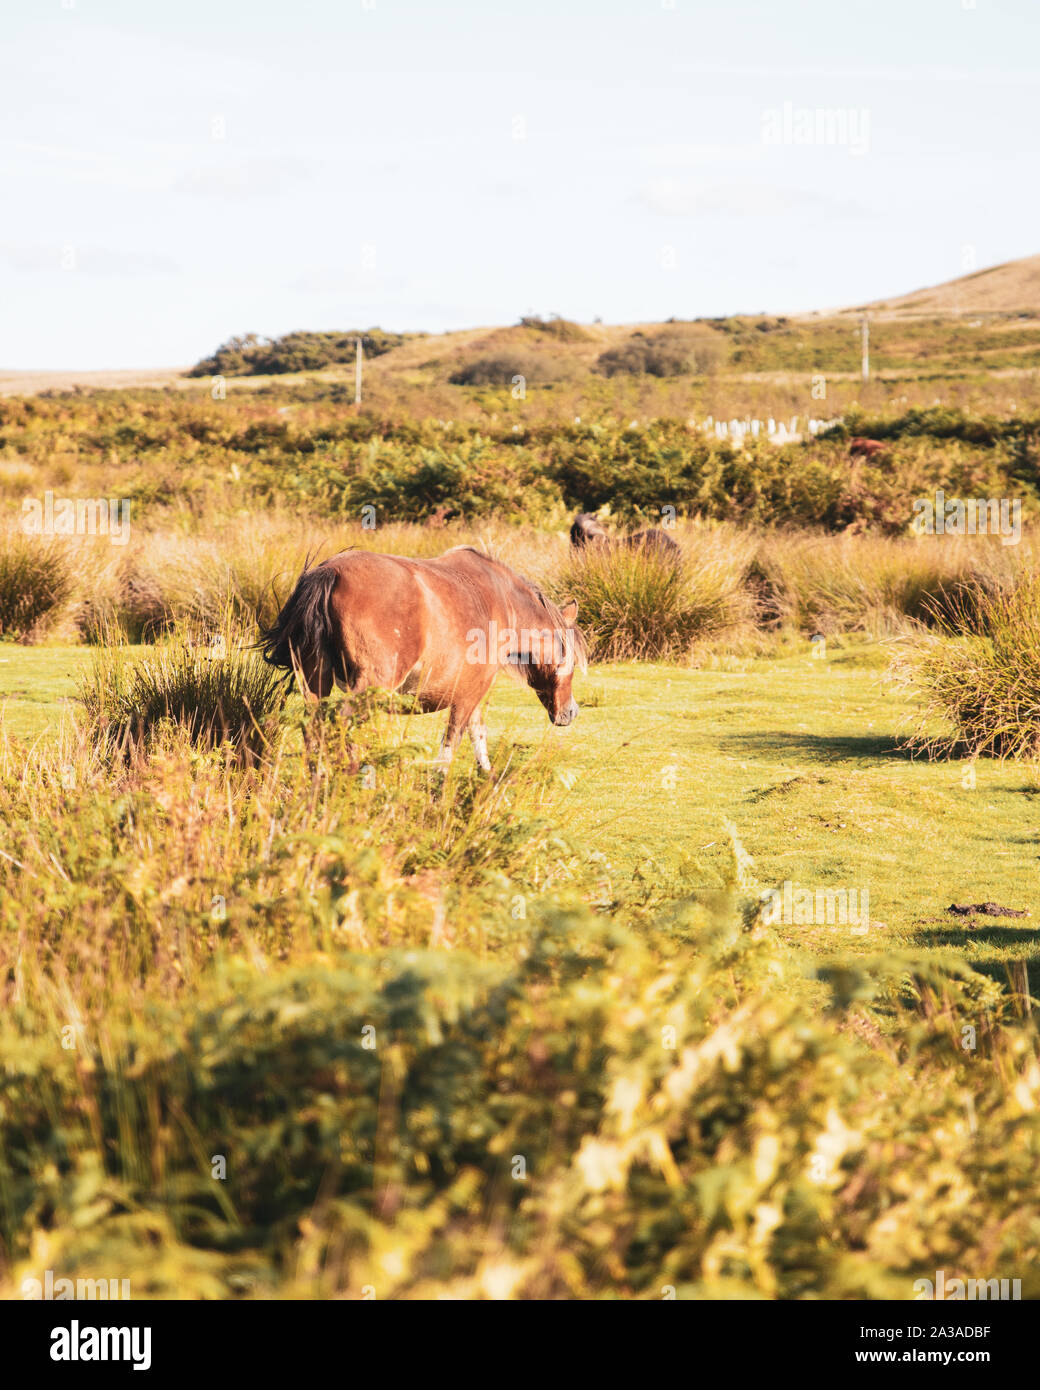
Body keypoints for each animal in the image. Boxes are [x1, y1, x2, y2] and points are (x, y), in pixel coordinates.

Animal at [260, 546, 587, 771]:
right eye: (569, 660)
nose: (571, 712)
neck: (501, 600)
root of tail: (331, 572)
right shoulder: (468, 695)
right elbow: (450, 747)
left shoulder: (473, 693)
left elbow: (477, 737)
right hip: (370, 686)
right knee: (339, 725)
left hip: (316, 682)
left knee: (314, 729)